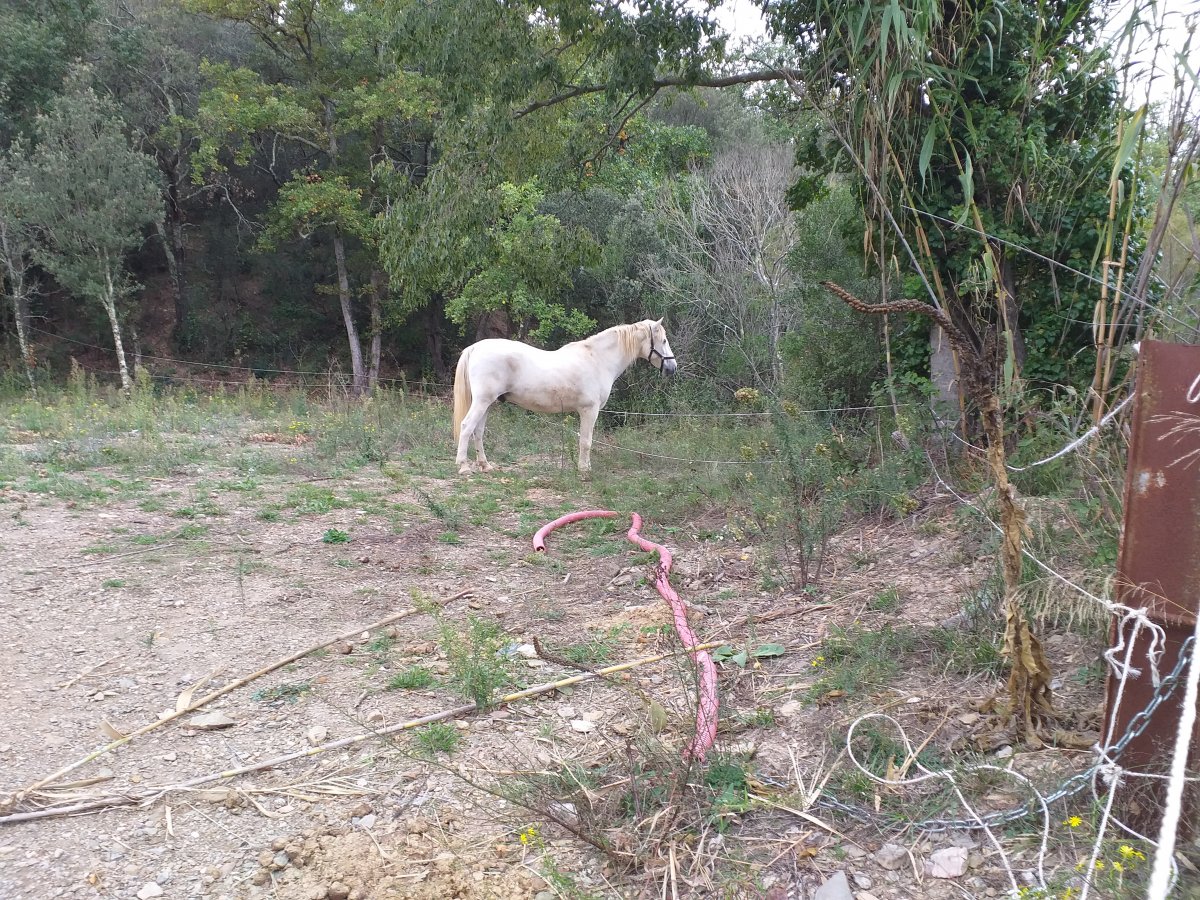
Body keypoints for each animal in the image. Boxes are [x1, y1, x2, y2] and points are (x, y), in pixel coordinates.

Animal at [452, 319, 677, 474]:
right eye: (664, 340)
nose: (672, 368)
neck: (598, 359)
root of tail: (476, 347)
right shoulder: (589, 410)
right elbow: (586, 441)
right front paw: (584, 469)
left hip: (487, 403)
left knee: (478, 432)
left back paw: (485, 465)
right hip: (482, 402)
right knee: (467, 427)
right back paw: (464, 467)